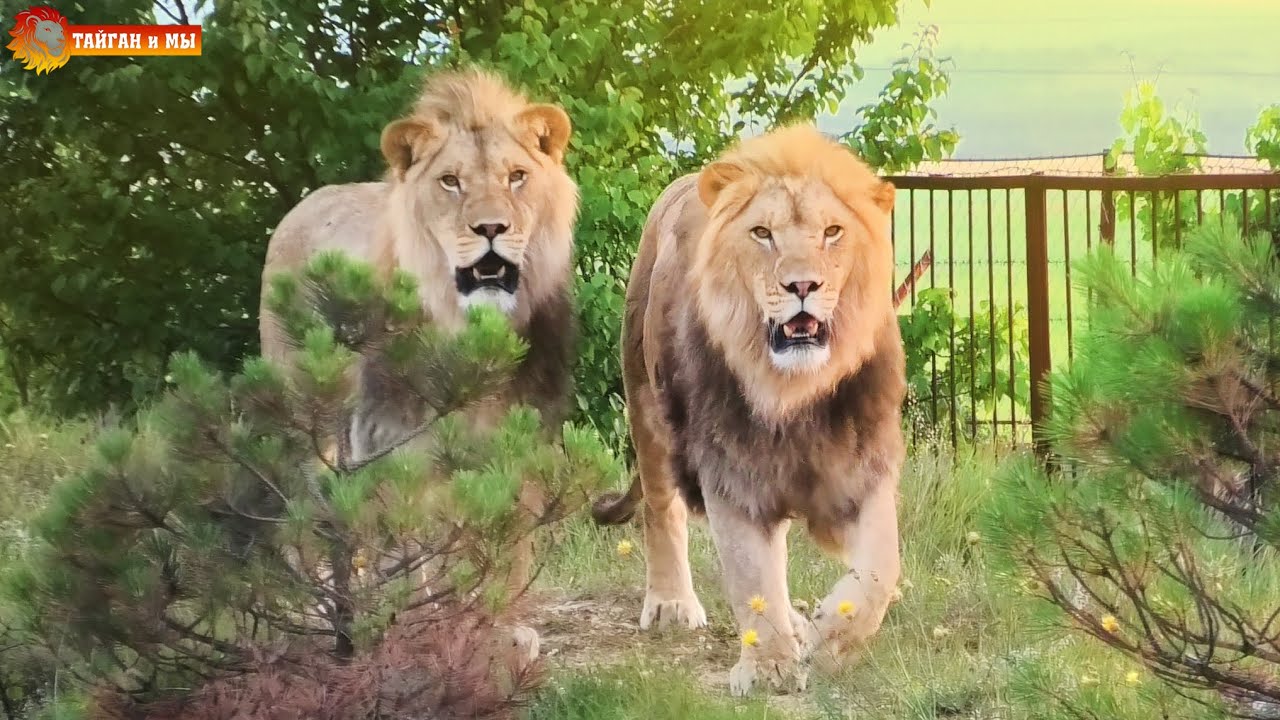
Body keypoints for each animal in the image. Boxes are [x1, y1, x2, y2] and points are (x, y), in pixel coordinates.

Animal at [259, 67, 579, 665]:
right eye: (450, 182)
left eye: (517, 177)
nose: (491, 229)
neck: (471, 329)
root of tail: (305, 204)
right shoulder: (397, 439)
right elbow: (415, 544)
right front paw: (424, 624)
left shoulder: (519, 432)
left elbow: (507, 538)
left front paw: (502, 625)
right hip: (307, 412)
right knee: (307, 510)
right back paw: (323, 613)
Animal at [591, 124, 905, 696]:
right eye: (762, 234)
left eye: (832, 232)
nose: (802, 286)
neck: (794, 391)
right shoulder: (731, 472)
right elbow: (751, 574)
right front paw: (768, 668)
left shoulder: (862, 468)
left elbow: (879, 571)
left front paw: (828, 640)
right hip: (644, 400)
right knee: (660, 507)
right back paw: (670, 604)